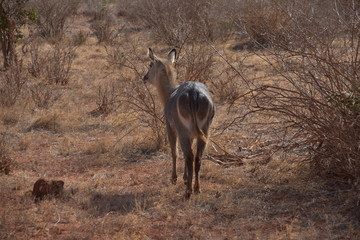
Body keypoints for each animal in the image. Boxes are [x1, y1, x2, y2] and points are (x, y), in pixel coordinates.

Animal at [143, 48, 215, 199]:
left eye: (150, 64)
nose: (144, 77)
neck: (169, 92)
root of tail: (193, 93)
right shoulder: (192, 134)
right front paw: (186, 178)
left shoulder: (170, 128)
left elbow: (174, 152)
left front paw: (174, 179)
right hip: (204, 131)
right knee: (197, 157)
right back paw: (197, 188)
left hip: (182, 132)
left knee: (189, 156)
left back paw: (188, 192)